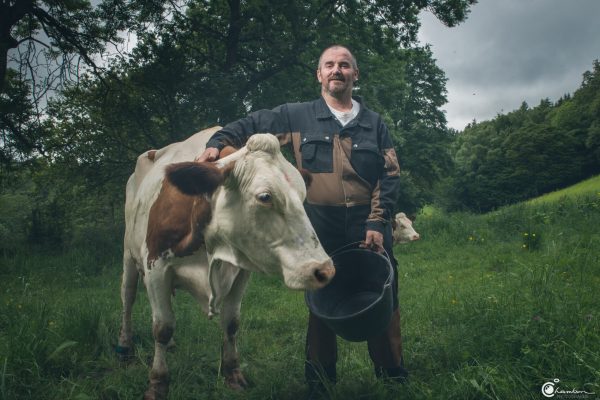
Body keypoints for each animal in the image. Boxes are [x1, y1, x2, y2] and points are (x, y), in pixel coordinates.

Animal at [115, 129, 336, 400]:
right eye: (265, 197)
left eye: (303, 196)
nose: (324, 270)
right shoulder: (156, 267)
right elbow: (163, 327)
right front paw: (157, 383)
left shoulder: (241, 272)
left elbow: (231, 323)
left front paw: (232, 374)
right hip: (128, 254)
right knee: (128, 298)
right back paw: (125, 347)